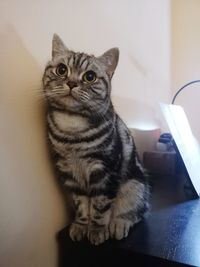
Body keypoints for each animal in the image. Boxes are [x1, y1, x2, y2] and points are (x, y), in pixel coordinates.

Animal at [42, 34, 148, 246]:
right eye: (62, 70)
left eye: (89, 76)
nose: (72, 83)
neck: (72, 124)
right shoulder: (69, 172)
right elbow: (81, 204)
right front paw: (81, 225)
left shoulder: (104, 171)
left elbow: (100, 206)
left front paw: (98, 230)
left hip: (135, 185)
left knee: (136, 211)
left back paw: (118, 223)